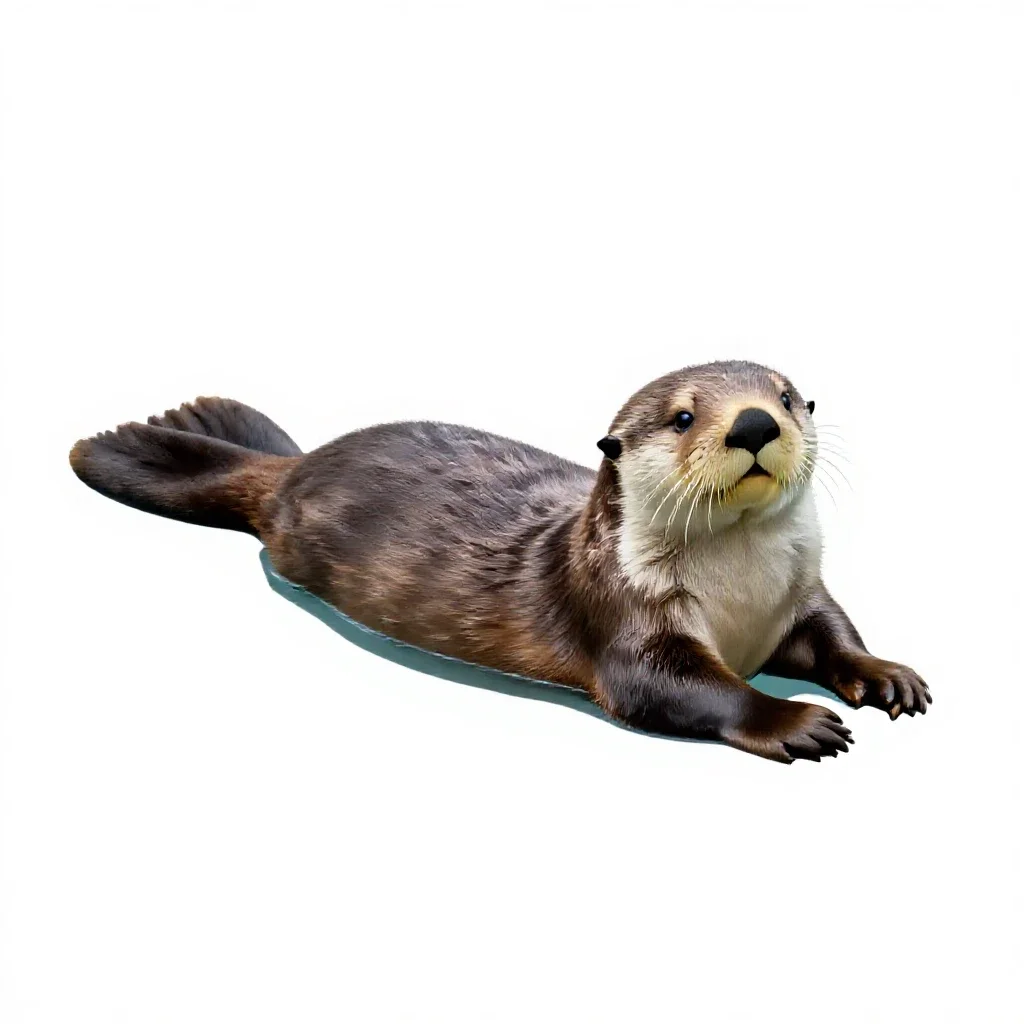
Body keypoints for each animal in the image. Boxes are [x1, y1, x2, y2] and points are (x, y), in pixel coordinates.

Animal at [69, 360, 929, 762]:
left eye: (786, 395)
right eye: (684, 416)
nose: (753, 423)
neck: (741, 597)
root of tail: (295, 467)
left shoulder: (799, 593)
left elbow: (834, 633)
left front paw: (886, 674)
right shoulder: (624, 617)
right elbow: (678, 687)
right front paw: (795, 720)